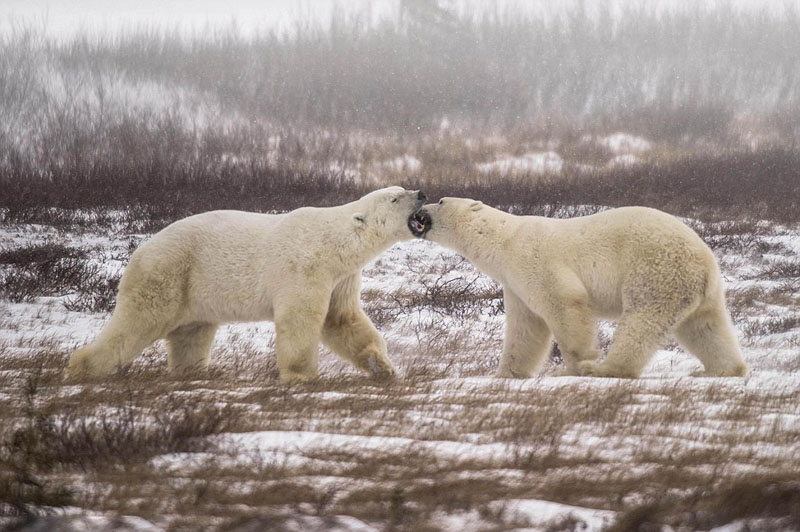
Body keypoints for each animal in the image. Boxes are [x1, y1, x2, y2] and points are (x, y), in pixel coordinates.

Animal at [66, 187, 428, 382]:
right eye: (395, 198)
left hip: (195, 292)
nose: (422, 193)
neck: (334, 242)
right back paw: (84, 368)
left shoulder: (340, 277)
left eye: (404, 190)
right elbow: (300, 320)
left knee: (191, 336)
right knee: (137, 322)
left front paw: (382, 366)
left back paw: (193, 372)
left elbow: (341, 321)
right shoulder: (304, 267)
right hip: (167, 273)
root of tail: (140, 251)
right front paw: (302, 376)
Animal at [410, 200, 748, 378]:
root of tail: (704, 261)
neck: (504, 240)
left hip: (656, 271)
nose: (419, 210)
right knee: (705, 327)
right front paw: (506, 374)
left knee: (642, 322)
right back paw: (720, 369)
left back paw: (605, 369)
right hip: (699, 291)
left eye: (441, 202)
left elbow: (563, 303)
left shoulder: (533, 258)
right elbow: (526, 329)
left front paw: (574, 365)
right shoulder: (514, 283)